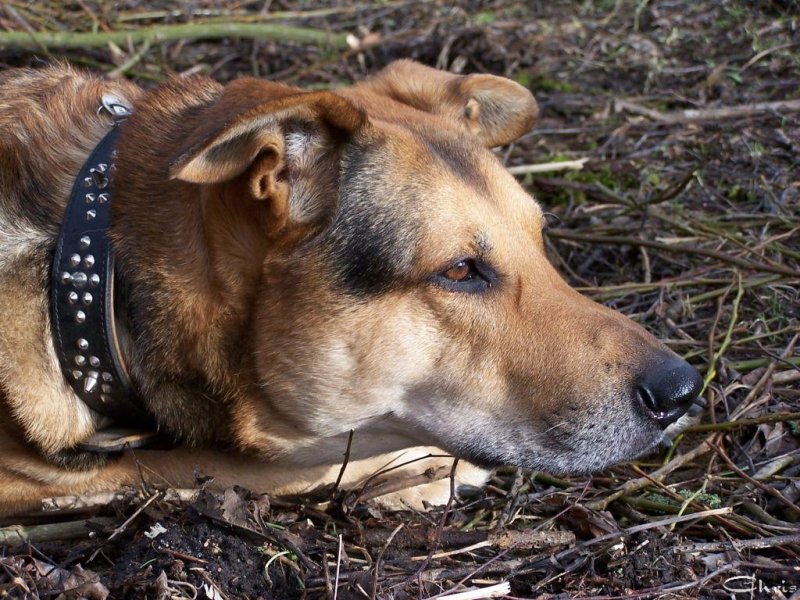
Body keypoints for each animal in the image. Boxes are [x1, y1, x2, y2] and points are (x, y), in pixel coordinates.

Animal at [0, 61, 700, 512]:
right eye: (459, 271)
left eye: (539, 239)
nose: (683, 392)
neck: (92, 266)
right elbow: (235, 465)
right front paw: (419, 468)